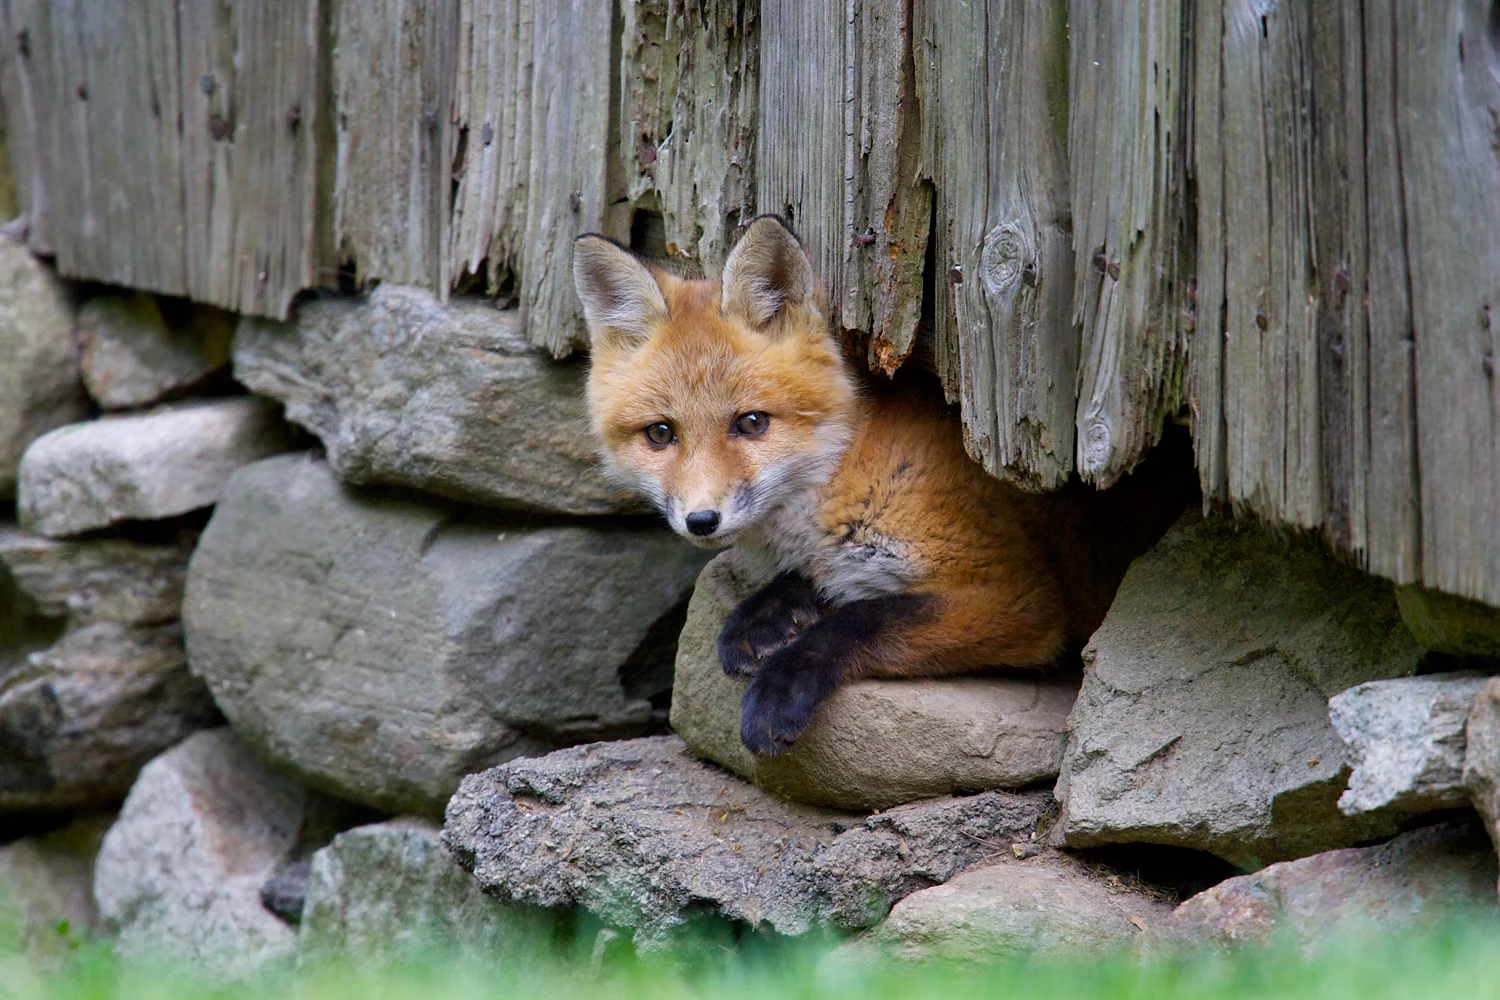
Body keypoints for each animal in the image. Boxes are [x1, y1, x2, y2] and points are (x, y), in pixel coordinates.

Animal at [573, 215, 1191, 757]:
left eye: (750, 423)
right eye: (660, 434)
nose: (702, 521)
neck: (846, 474)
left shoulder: (1016, 598)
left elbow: (864, 618)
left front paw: (784, 680)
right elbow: (815, 585)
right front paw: (765, 614)